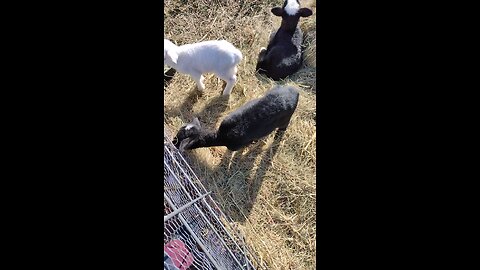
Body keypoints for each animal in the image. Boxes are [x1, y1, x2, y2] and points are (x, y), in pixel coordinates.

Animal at [172, 85, 300, 151]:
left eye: (180, 141)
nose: (173, 143)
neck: (221, 136)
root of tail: (295, 92)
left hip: (286, 119)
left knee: (283, 128)